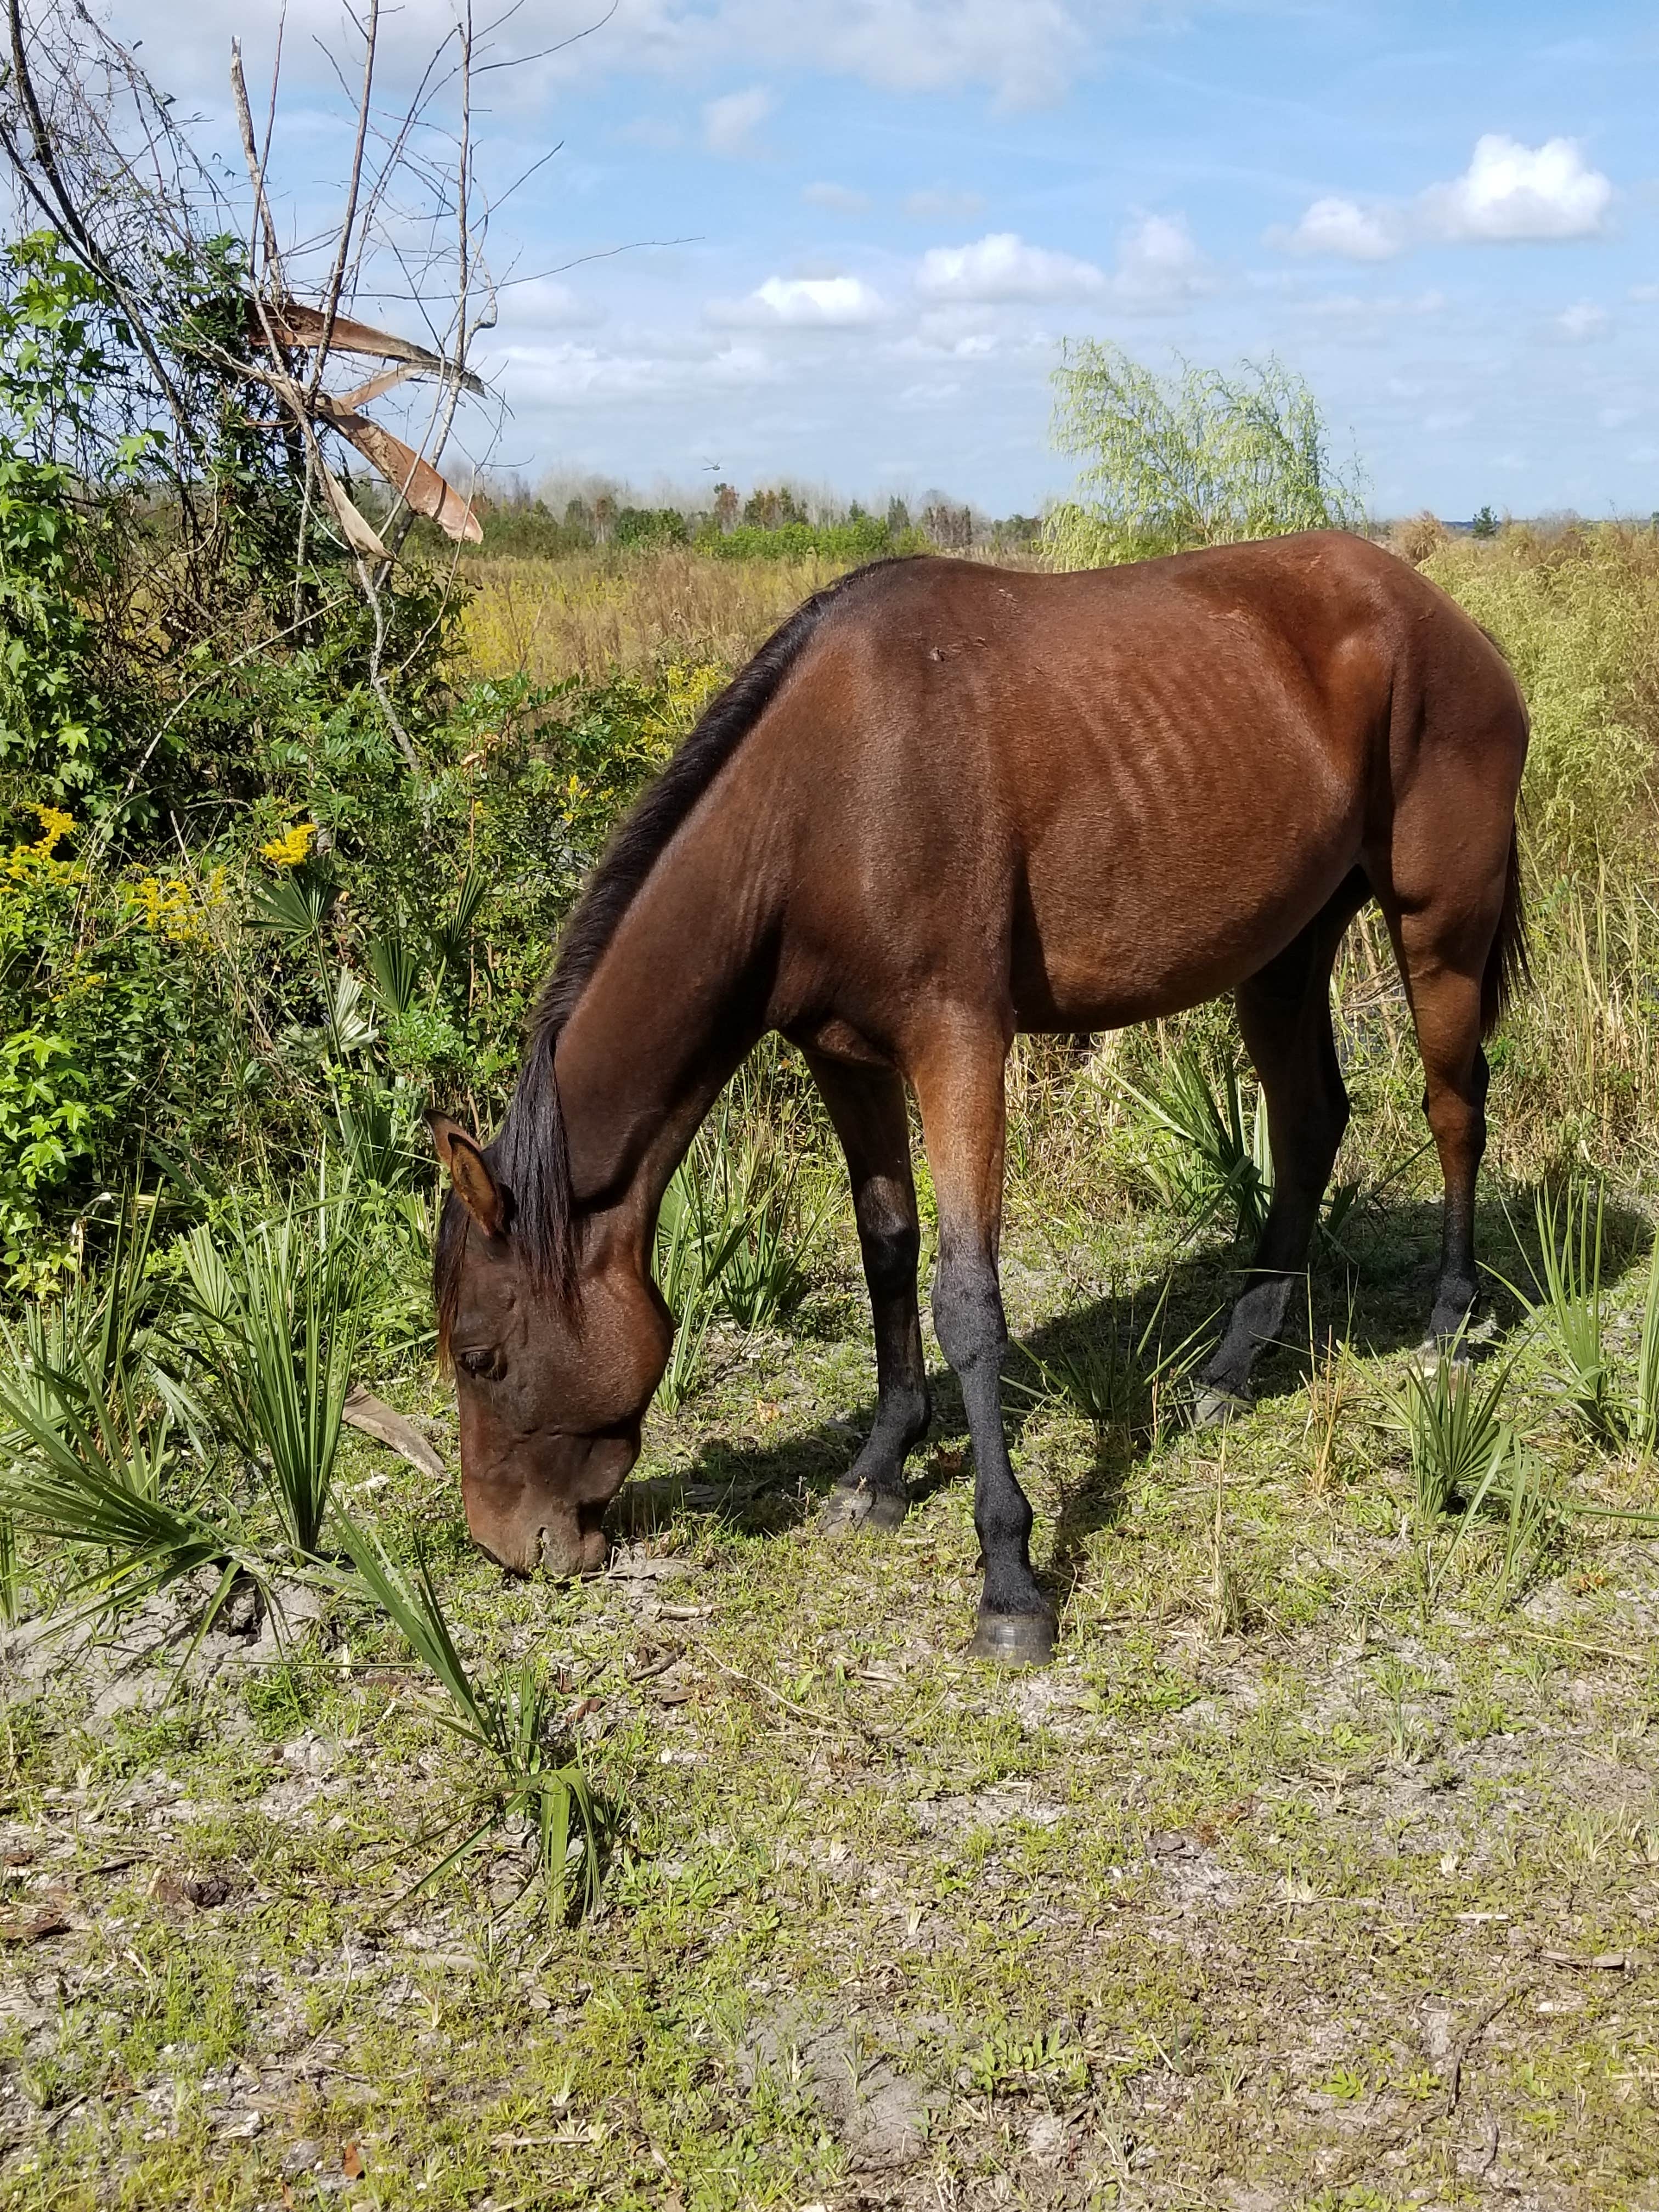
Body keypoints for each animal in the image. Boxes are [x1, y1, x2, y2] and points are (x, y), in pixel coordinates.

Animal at [427, 532, 1528, 1665]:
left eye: (479, 1354)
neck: (824, 797)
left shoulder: (957, 1045)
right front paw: (878, 1468)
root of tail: (1436, 613)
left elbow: (967, 1297)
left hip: (1438, 926)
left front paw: (1007, 1576)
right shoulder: (846, 1057)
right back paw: (1230, 1365)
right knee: (1308, 1123)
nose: (507, 1543)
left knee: (1454, 1108)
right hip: (1281, 952)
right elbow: (887, 1251)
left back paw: (1449, 1321)